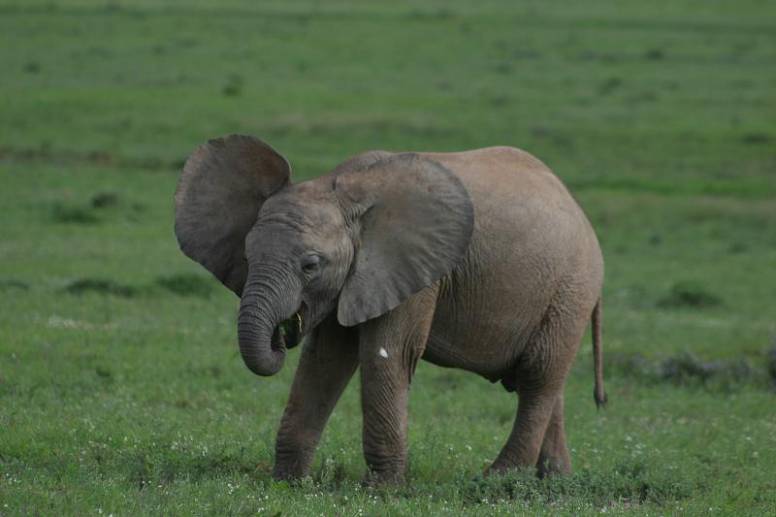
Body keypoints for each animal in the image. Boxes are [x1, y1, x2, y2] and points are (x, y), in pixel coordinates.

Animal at [174, 134, 608, 484]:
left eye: (311, 265)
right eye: (248, 256)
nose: (283, 333)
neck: (342, 191)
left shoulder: (415, 271)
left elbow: (387, 355)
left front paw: (383, 489)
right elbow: (324, 360)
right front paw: (286, 482)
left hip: (571, 288)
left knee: (538, 376)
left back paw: (496, 481)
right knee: (547, 383)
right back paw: (554, 481)